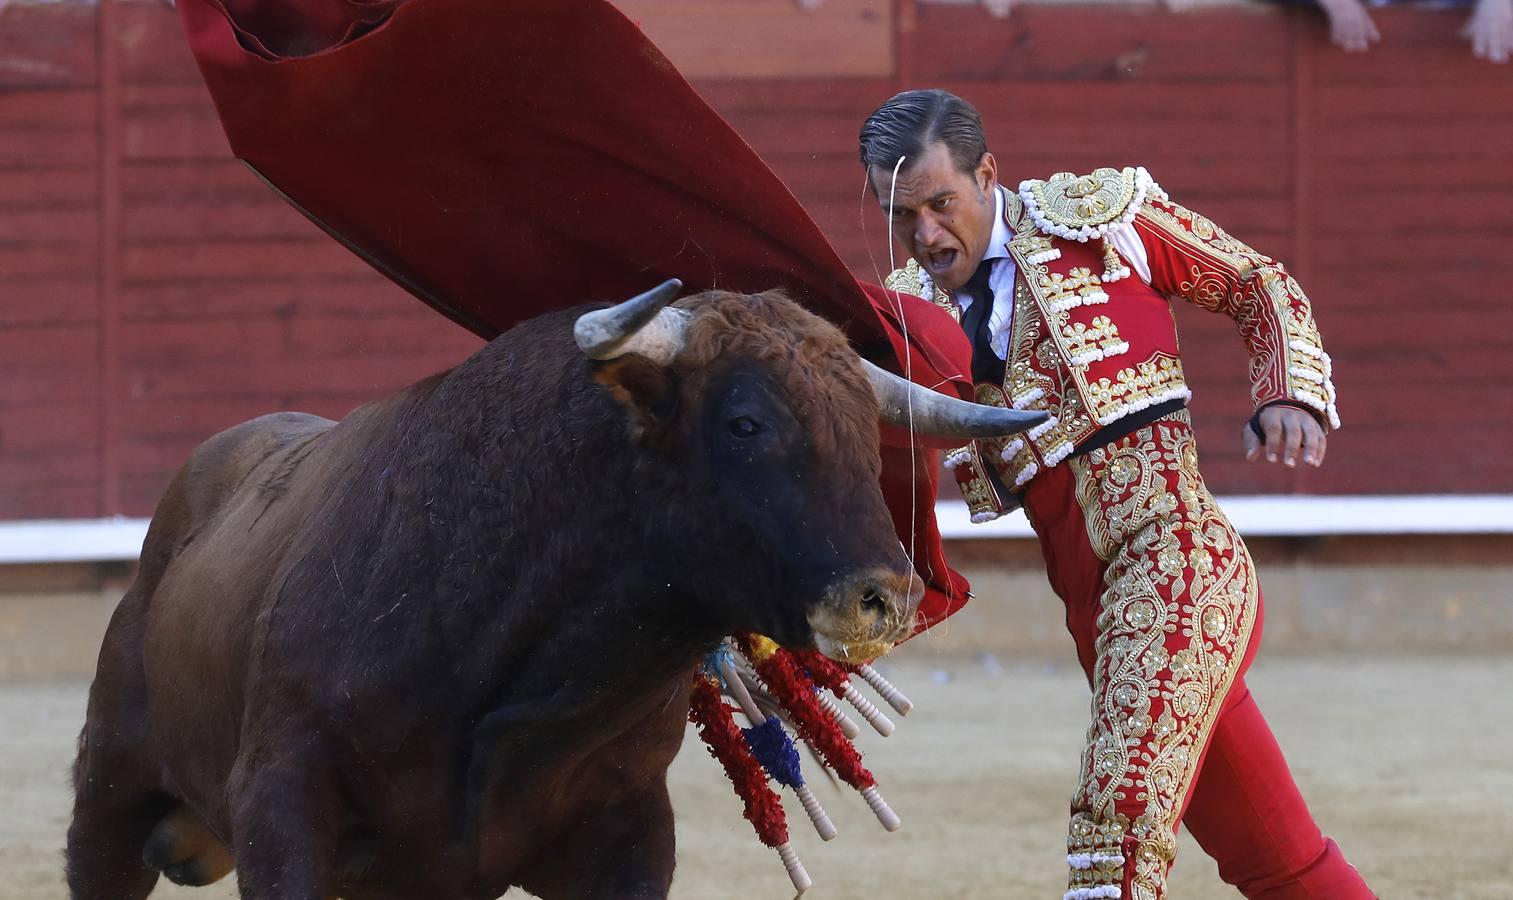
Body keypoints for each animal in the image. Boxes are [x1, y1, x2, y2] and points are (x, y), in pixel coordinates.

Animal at [68, 282, 1040, 900]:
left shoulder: (628, 832)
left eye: (866, 433)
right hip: (110, 793)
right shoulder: (281, 805)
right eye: (744, 422)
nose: (882, 598)